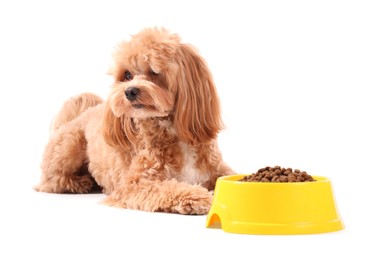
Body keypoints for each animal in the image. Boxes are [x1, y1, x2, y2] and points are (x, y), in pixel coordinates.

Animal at [37, 27, 235, 215]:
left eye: (154, 72)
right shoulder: (135, 184)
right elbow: (169, 189)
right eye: (127, 75)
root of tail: (82, 114)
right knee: (52, 180)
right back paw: (79, 183)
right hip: (70, 144)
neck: (173, 131)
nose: (130, 91)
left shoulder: (217, 168)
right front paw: (198, 196)